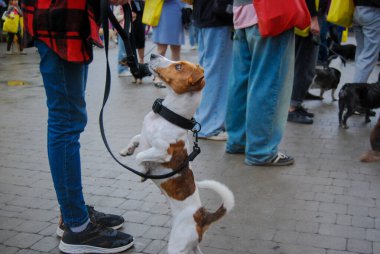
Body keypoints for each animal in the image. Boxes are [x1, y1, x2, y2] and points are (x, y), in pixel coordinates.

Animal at [119, 54, 235, 254]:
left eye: (178, 66)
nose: (153, 55)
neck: (166, 116)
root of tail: (202, 216)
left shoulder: (162, 151)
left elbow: (140, 156)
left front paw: (142, 171)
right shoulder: (145, 138)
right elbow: (136, 140)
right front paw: (127, 150)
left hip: (177, 245)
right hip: (191, 246)